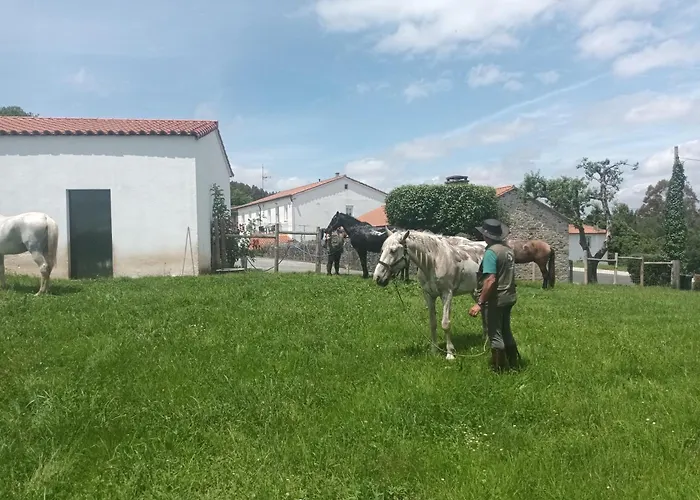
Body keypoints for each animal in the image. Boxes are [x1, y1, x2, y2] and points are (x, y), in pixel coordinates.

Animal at [373, 228, 485, 361]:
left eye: (393, 250)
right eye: (382, 249)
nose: (377, 277)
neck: (434, 261)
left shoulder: (447, 294)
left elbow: (445, 324)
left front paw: (450, 354)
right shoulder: (428, 295)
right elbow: (433, 323)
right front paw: (434, 351)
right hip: (476, 291)